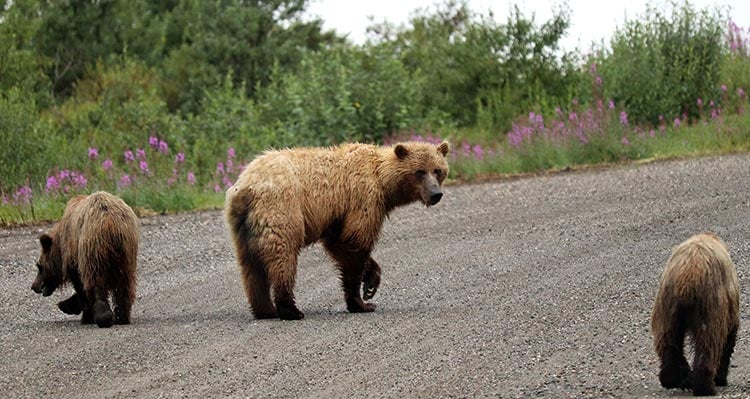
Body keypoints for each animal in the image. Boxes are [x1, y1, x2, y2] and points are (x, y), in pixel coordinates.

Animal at [31, 192, 140, 330]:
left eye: (39, 266)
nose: (34, 286)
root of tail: (111, 223)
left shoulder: (73, 253)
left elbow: (80, 284)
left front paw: (82, 313)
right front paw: (66, 305)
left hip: (92, 247)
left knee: (96, 282)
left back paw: (103, 317)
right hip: (127, 253)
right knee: (125, 284)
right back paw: (122, 317)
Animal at [223, 142, 446, 320]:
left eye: (438, 170)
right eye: (420, 171)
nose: (436, 194)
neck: (382, 181)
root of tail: (245, 187)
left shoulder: (338, 217)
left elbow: (340, 243)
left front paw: (370, 284)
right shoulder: (363, 199)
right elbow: (354, 243)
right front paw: (361, 302)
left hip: (242, 227)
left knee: (251, 267)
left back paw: (264, 310)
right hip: (281, 210)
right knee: (282, 257)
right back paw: (290, 309)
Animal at [652, 233, 740, 396]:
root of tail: (687, 278)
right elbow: (729, 339)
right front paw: (721, 378)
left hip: (667, 304)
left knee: (668, 339)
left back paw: (674, 379)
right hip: (709, 304)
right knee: (708, 342)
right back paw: (705, 386)